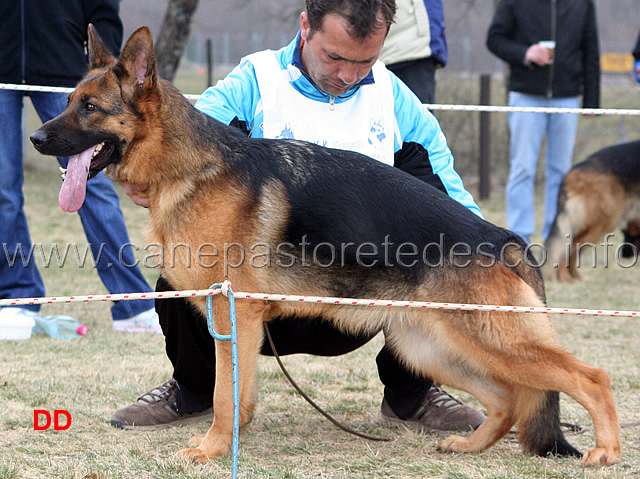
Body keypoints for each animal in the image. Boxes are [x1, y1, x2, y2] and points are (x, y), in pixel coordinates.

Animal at [31, 26, 620, 468]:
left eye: (90, 108)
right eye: (68, 102)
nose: (36, 139)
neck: (191, 167)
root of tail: (502, 237)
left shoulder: (233, 314)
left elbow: (225, 394)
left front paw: (213, 449)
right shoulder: (233, 320)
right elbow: (234, 393)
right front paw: (226, 443)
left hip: (490, 340)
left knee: (588, 376)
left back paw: (606, 451)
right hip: (430, 345)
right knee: (505, 400)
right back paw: (470, 444)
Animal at [544, 139, 640, 284]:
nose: (625, 255)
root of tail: (571, 173)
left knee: (574, 252)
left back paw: (578, 278)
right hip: (604, 222)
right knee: (568, 249)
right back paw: (566, 279)